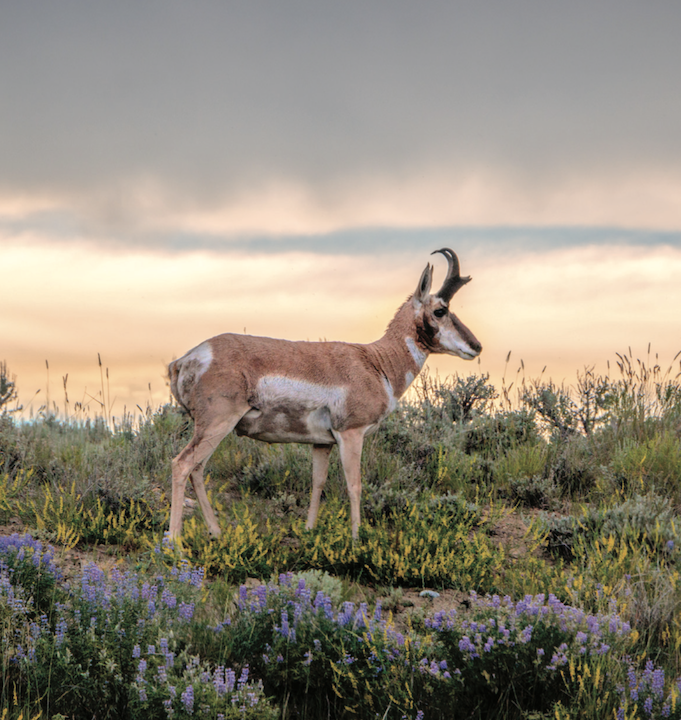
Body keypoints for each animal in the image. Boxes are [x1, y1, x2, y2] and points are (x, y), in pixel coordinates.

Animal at [168, 248, 482, 540]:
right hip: (217, 424)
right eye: (440, 310)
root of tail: (186, 358)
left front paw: (308, 531)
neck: (376, 361)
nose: (476, 346)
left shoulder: (321, 443)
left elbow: (318, 482)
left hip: (212, 429)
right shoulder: (351, 434)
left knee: (197, 469)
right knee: (182, 464)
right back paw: (175, 541)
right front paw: (357, 539)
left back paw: (216, 532)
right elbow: (354, 484)